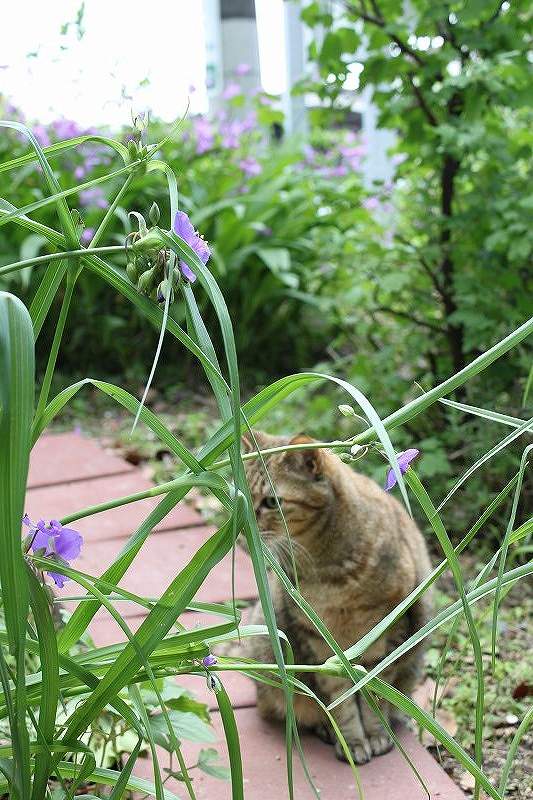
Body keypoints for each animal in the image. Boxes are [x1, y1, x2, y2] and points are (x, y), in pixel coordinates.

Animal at [222, 432, 430, 764]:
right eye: (240, 495)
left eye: (271, 502)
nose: (242, 530)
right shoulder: (316, 640)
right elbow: (341, 700)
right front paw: (352, 740)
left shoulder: (390, 630)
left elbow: (374, 694)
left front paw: (375, 734)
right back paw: (326, 729)